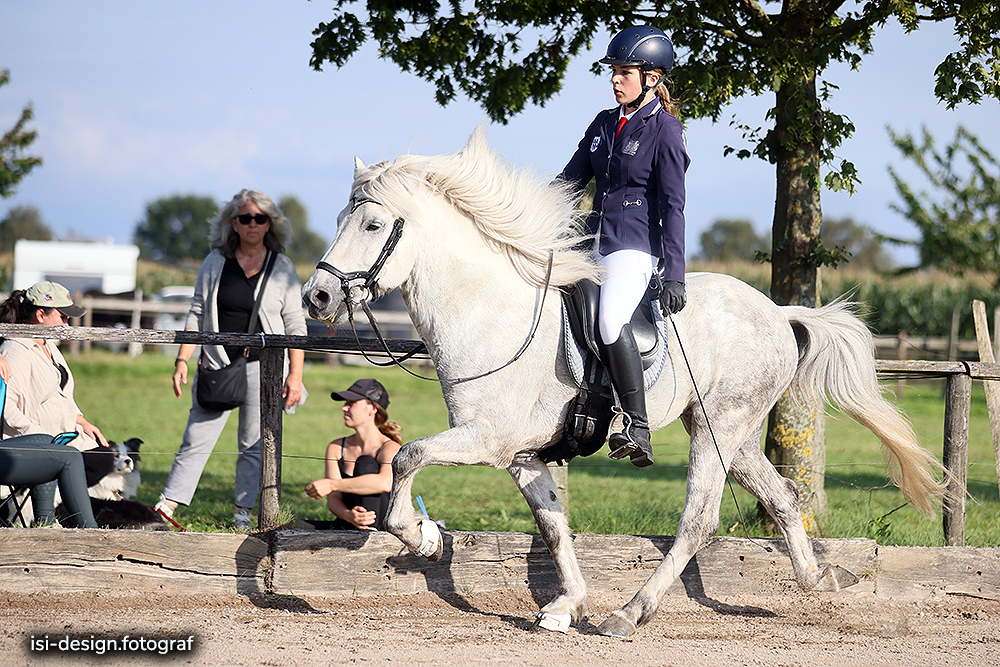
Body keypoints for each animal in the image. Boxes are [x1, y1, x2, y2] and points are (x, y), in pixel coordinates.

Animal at [302, 129, 944, 636]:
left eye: (373, 224)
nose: (318, 297)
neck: (490, 312)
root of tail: (778, 313)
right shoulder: (523, 455)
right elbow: (554, 527)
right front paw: (567, 606)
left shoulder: (486, 439)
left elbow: (407, 456)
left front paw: (422, 536)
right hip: (728, 433)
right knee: (783, 497)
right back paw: (819, 579)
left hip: (718, 431)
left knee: (697, 521)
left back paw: (631, 614)